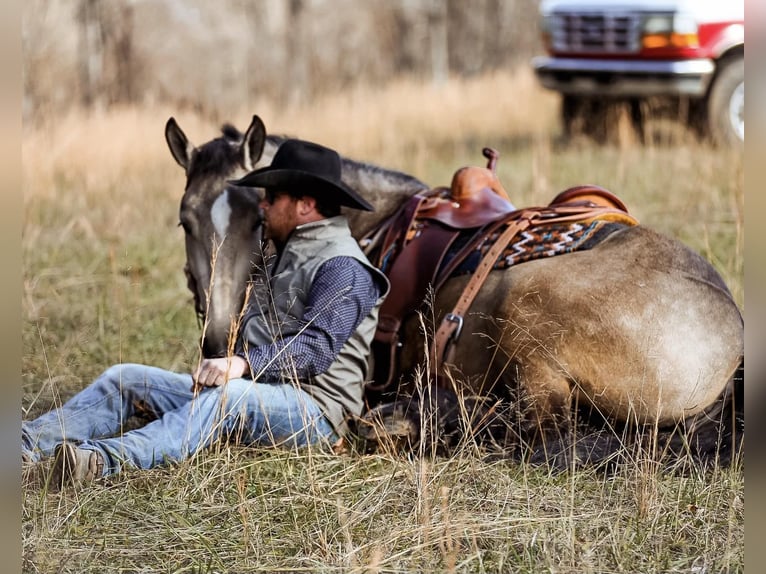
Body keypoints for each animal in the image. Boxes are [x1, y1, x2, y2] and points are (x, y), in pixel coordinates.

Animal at [166, 116, 744, 468]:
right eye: (184, 221)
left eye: (257, 219)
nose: (218, 339)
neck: (368, 224)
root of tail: (732, 335)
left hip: (530, 318)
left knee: (536, 431)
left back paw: (412, 418)